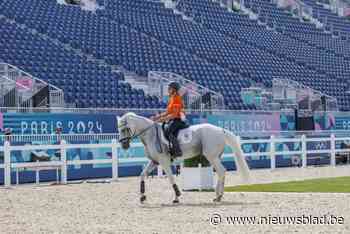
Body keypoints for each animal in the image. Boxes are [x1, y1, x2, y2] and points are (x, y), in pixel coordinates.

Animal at [119, 113, 250, 203]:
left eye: (126, 129)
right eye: (119, 129)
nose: (124, 145)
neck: (150, 135)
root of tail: (221, 130)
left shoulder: (164, 162)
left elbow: (171, 178)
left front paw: (177, 196)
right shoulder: (154, 162)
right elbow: (142, 175)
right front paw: (142, 196)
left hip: (211, 157)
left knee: (221, 171)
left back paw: (218, 196)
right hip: (215, 157)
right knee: (221, 172)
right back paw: (218, 196)